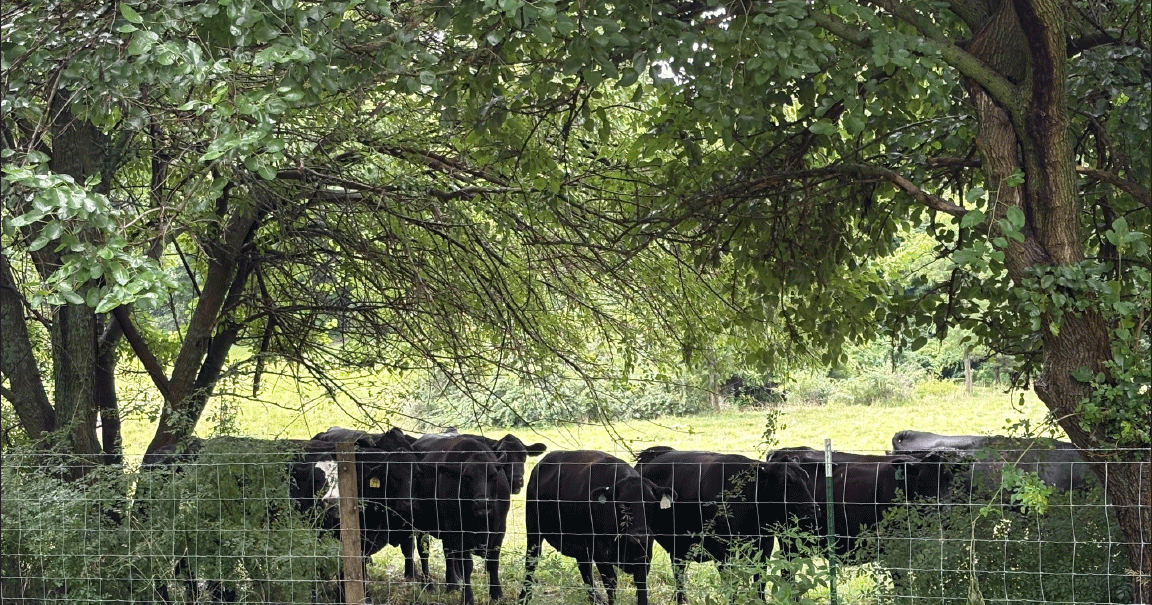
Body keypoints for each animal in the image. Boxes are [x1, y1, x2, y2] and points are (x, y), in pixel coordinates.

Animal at [410, 435, 512, 605]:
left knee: (448, 554)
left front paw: (496, 594)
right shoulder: (457, 532)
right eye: (466, 477)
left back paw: (452, 583)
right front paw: (468, 597)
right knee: (424, 552)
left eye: (492, 476)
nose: (482, 503)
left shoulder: (499, 530)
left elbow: (493, 563)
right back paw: (428, 584)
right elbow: (467, 566)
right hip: (421, 525)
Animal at [519, 449, 675, 605]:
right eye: (622, 504)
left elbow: (641, 584)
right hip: (534, 529)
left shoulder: (644, 552)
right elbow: (611, 582)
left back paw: (595, 598)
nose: (639, 535)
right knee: (531, 561)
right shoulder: (599, 550)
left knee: (584, 567)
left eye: (651, 502)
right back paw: (524, 597)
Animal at [634, 446, 817, 604]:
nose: (813, 508)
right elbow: (730, 580)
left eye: (806, 478)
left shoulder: (764, 543)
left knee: (678, 567)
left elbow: (759, 579)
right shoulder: (720, 547)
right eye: (786, 481)